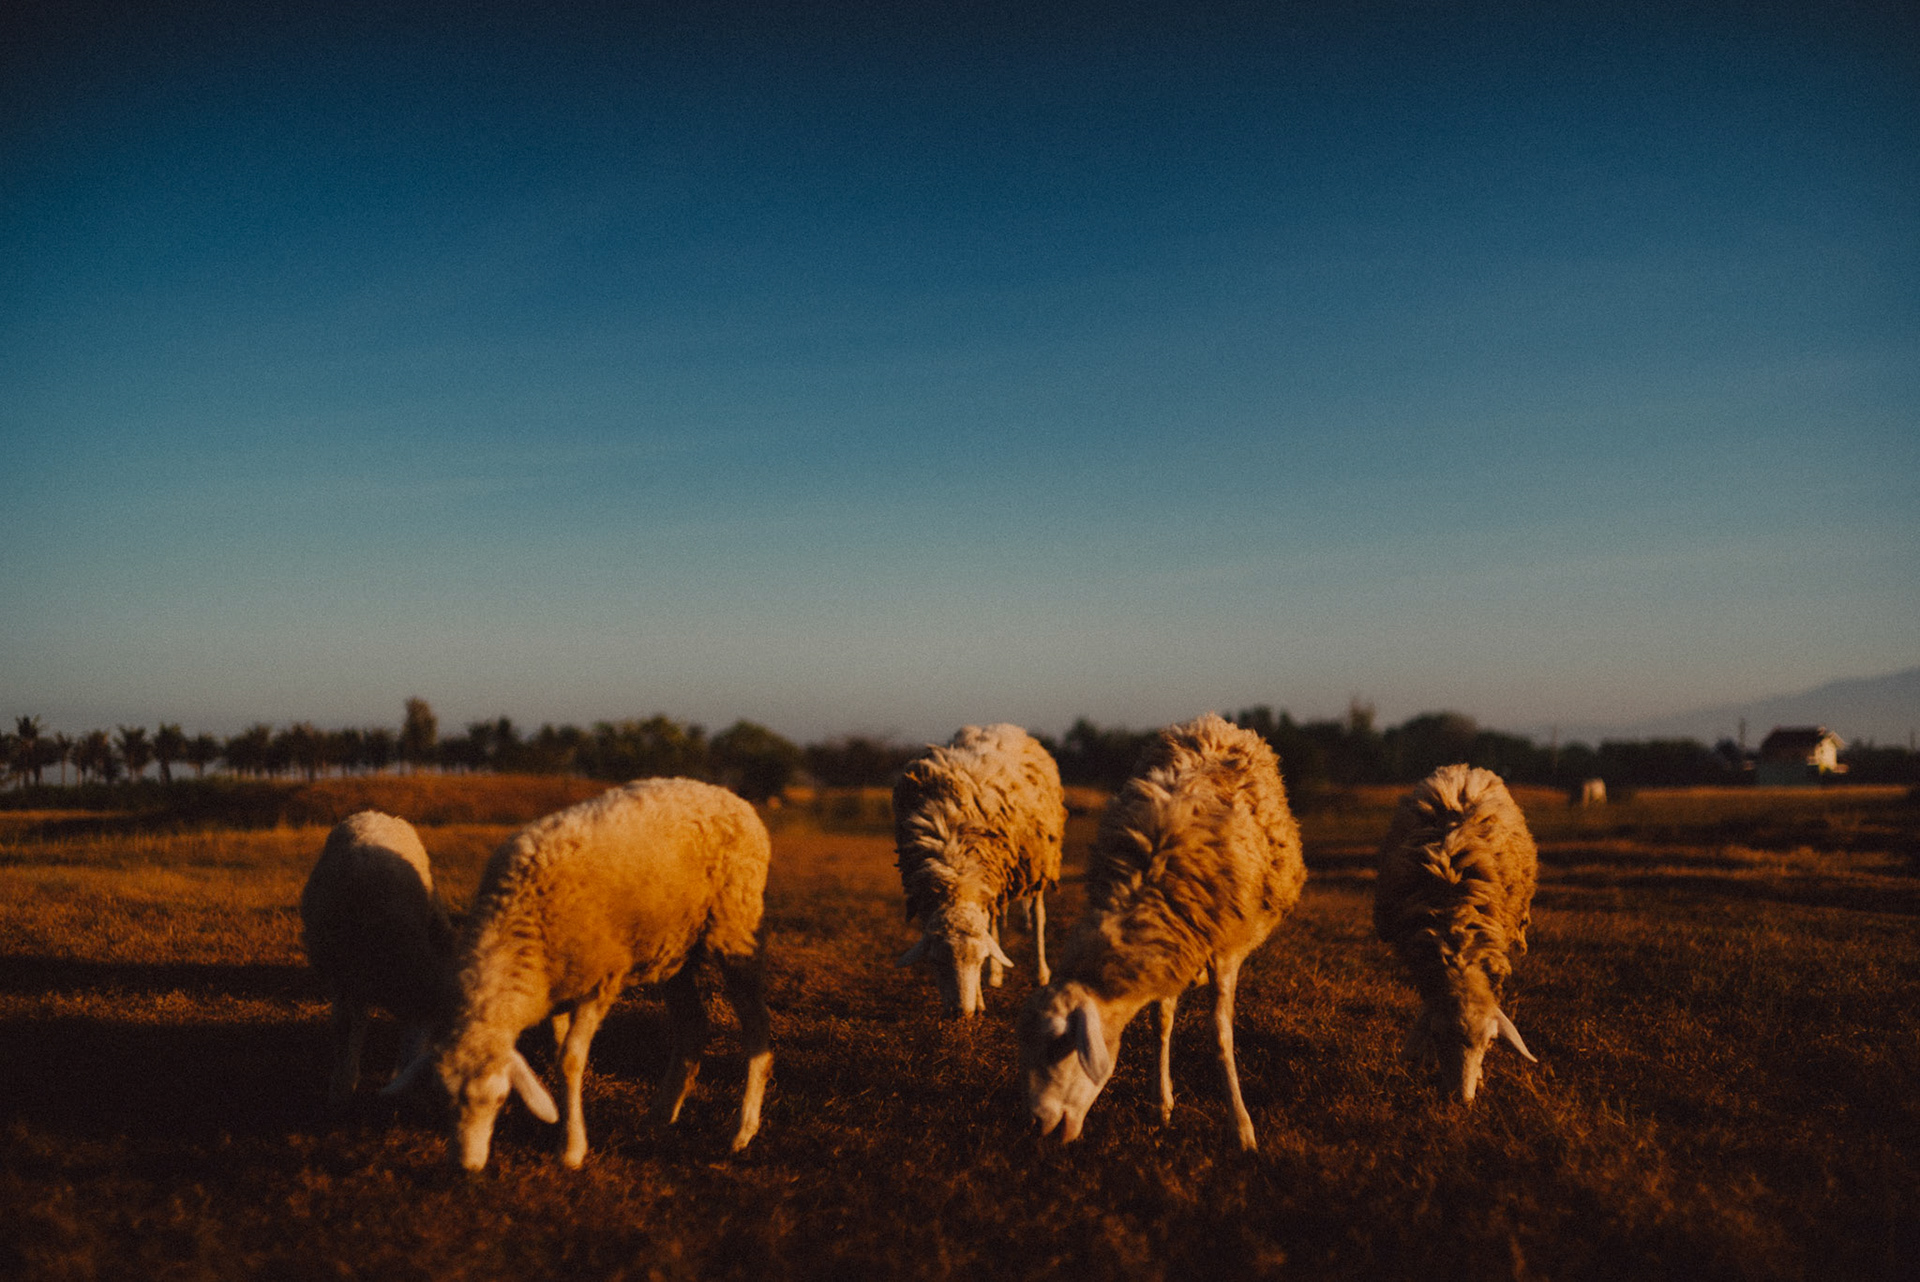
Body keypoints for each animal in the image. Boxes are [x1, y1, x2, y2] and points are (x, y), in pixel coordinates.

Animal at [386, 777, 773, 1170]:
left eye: (499, 1099)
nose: (466, 1166)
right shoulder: (559, 989)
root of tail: (729, 796)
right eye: (444, 1099)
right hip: (674, 949)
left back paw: (743, 1130)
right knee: (692, 1026)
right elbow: (560, 1055)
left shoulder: (600, 980)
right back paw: (661, 1114)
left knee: (757, 1028)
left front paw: (571, 1148)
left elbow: (570, 1060)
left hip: (735, 926)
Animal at [893, 723, 1066, 1017]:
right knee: (993, 921)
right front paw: (984, 989)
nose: (961, 1013)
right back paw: (995, 975)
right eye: (936, 962)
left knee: (1037, 914)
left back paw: (1040, 972)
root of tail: (1001, 726)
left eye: (978, 960)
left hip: (1040, 859)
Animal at [1017, 713, 1304, 1151]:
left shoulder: (1222, 949)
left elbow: (1220, 1035)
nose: (1033, 1124)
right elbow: (1161, 1022)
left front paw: (1241, 1127)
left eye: (1059, 1044)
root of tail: (1213, 722)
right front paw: (1160, 1104)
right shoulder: (1170, 945)